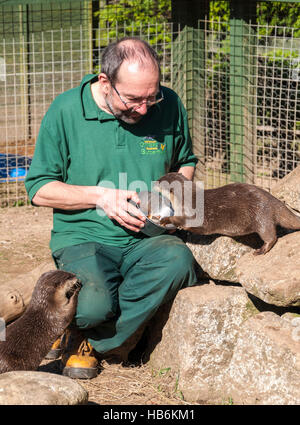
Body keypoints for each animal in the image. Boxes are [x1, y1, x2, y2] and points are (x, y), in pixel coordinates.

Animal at [154, 171, 300, 253]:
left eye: (160, 181)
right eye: (161, 177)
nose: (154, 181)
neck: (183, 200)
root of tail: (272, 200)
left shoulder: (190, 212)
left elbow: (182, 221)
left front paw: (165, 220)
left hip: (261, 215)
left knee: (271, 236)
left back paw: (261, 250)